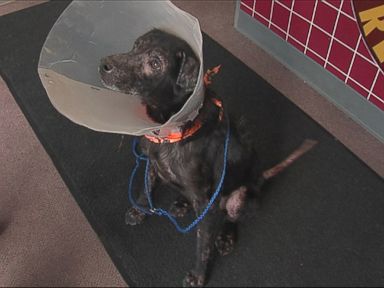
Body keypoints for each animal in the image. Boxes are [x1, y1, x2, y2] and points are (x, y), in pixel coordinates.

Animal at [100, 28, 316, 286]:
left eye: (155, 63)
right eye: (135, 45)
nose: (103, 64)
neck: (171, 128)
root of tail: (260, 178)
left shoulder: (208, 207)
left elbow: (203, 247)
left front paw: (198, 275)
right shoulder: (151, 164)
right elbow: (146, 188)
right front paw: (139, 210)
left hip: (240, 198)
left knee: (232, 218)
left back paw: (226, 236)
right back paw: (181, 203)